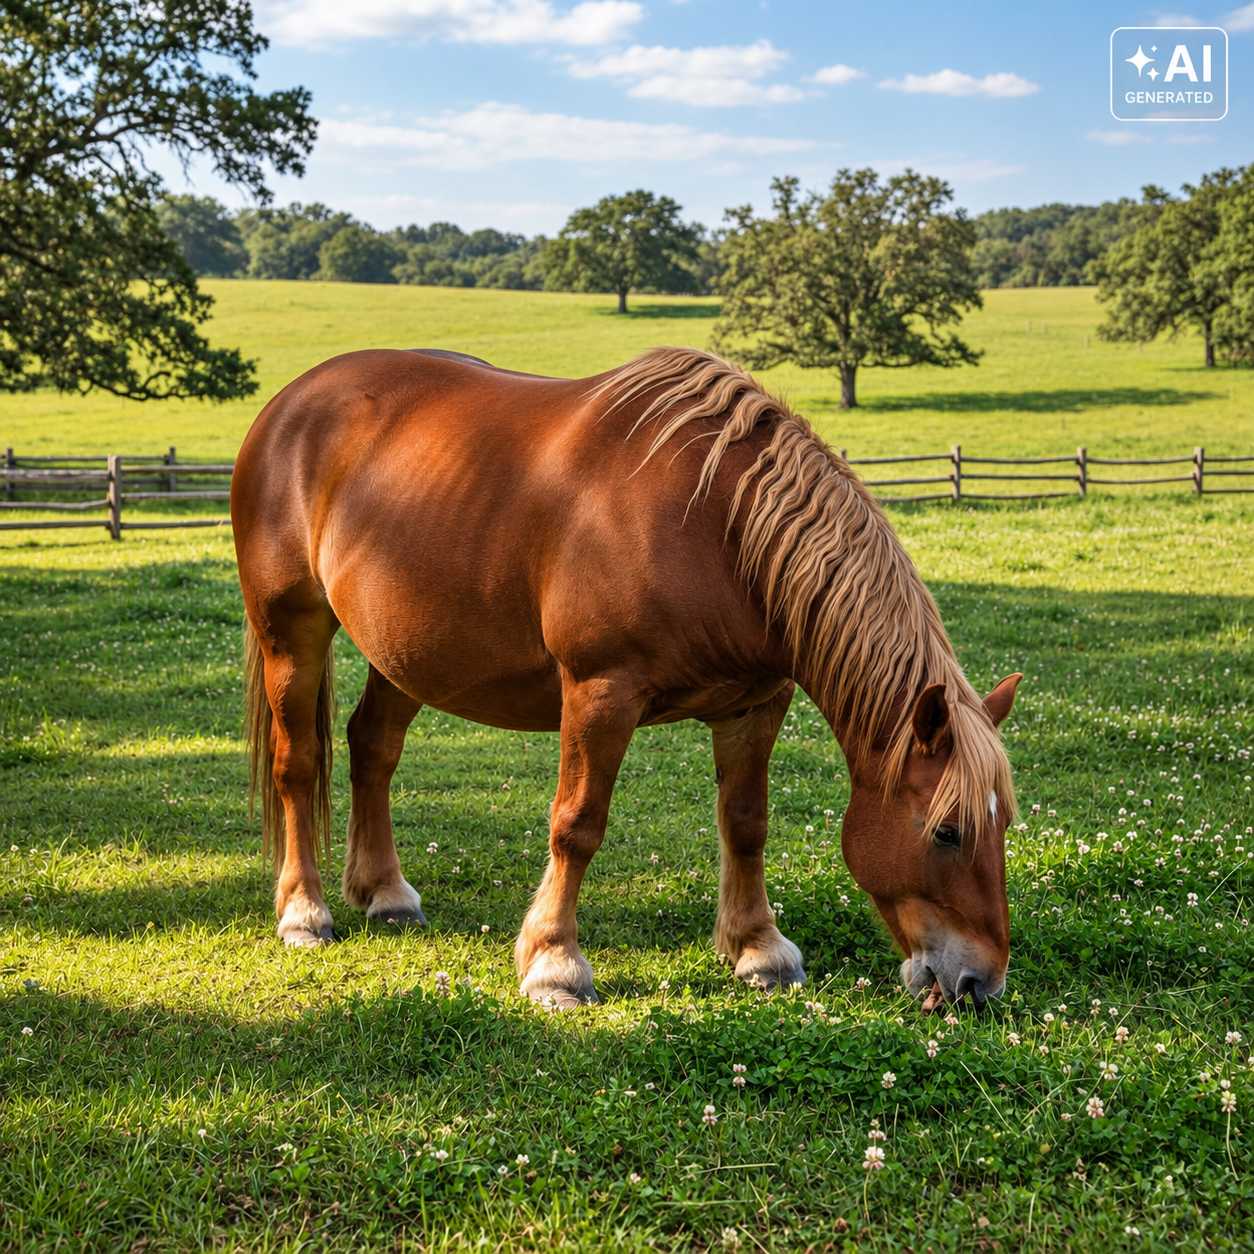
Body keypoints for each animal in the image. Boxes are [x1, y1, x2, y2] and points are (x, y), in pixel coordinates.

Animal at [231, 346, 1021, 1011]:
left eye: (1003, 824)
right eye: (947, 831)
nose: (980, 983)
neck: (719, 528)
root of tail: (290, 404)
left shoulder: (756, 706)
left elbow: (746, 823)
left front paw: (759, 949)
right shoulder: (600, 694)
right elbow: (577, 825)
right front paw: (554, 963)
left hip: (403, 652)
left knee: (373, 748)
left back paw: (386, 893)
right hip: (292, 634)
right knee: (298, 764)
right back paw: (304, 911)